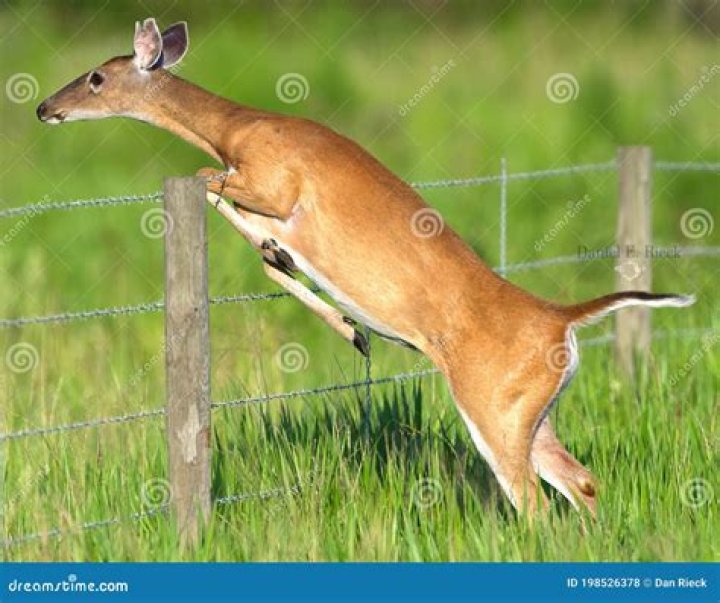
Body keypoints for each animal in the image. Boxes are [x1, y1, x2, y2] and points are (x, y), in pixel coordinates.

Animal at [36, 18, 695, 520]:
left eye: (96, 76)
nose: (45, 107)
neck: (234, 130)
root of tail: (563, 318)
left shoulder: (274, 182)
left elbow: (211, 185)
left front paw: (341, 317)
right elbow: (227, 206)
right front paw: (334, 310)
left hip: (494, 404)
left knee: (533, 501)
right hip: (535, 410)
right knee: (581, 480)